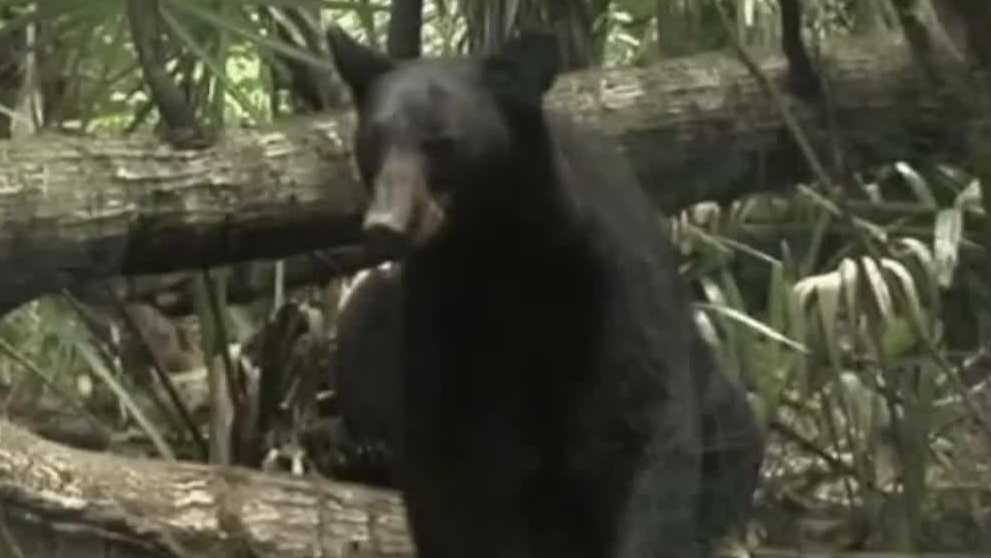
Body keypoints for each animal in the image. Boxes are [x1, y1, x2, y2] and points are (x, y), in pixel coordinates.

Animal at [327, 28, 762, 558]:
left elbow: (646, 425)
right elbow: (443, 461)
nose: (386, 225)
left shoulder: (608, 281)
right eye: (372, 140)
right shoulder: (440, 309)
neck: (500, 250)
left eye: (441, 142)